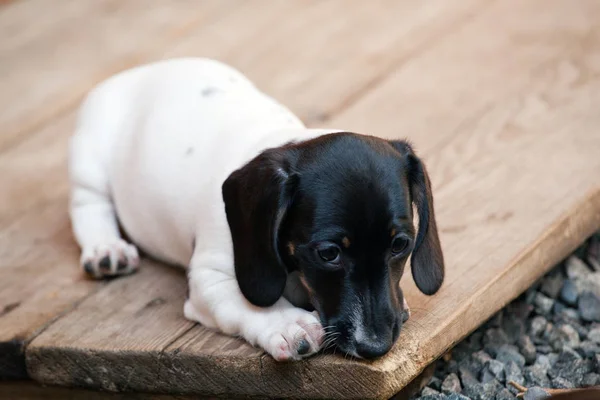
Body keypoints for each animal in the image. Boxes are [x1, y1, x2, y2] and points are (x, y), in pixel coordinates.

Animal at [71, 57, 446, 362]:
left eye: (400, 245)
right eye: (329, 253)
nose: (375, 346)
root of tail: (137, 72)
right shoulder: (210, 279)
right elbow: (249, 303)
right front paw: (287, 323)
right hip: (89, 161)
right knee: (88, 205)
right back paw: (107, 249)